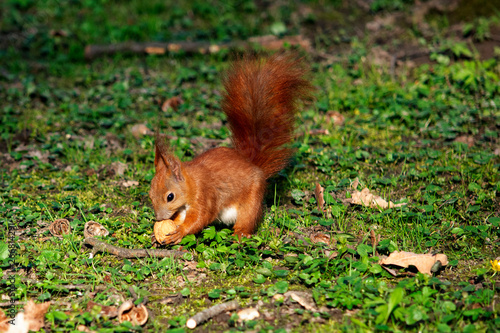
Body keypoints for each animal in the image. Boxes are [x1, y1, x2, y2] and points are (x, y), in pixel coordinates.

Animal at [149, 53, 312, 243]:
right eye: (150, 195)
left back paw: (240, 233)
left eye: (170, 197)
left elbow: (201, 217)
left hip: (252, 200)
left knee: (248, 218)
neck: (192, 183)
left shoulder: (205, 195)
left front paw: (179, 232)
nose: (159, 218)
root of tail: (252, 164)